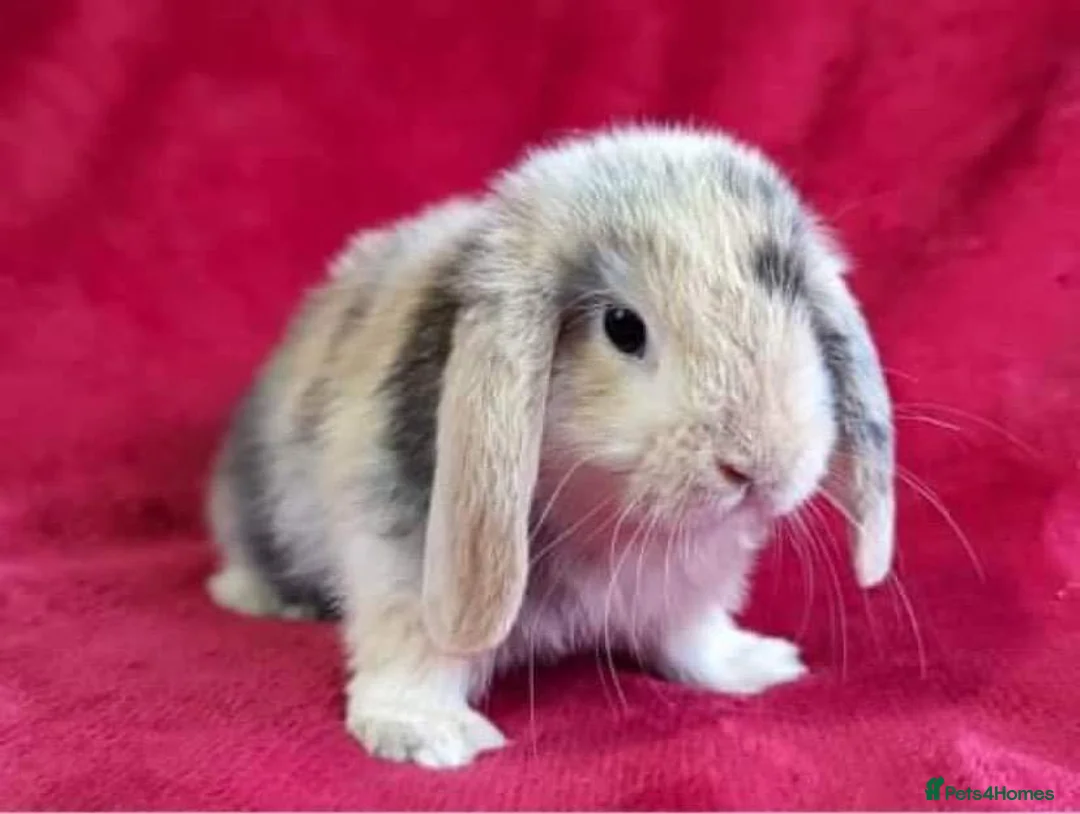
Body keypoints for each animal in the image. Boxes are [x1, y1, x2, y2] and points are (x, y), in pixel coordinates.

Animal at [205, 125, 895, 769]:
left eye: (794, 303)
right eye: (622, 327)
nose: (758, 466)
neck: (613, 527)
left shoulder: (688, 589)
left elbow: (690, 637)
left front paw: (756, 664)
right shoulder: (398, 557)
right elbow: (415, 650)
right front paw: (429, 736)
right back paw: (262, 600)